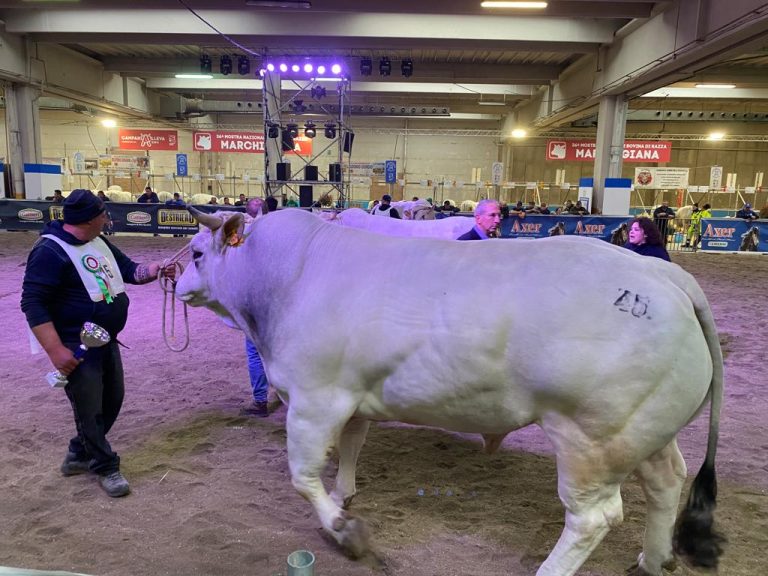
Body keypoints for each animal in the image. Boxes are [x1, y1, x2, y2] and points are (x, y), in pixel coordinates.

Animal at [180, 207, 728, 576]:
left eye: (197, 253)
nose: (178, 283)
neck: (290, 277)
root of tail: (663, 274)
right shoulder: (353, 396)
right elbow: (351, 448)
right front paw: (345, 496)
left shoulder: (315, 398)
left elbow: (303, 476)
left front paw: (344, 529)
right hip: (644, 430)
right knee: (667, 480)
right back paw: (653, 559)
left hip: (591, 439)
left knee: (594, 517)